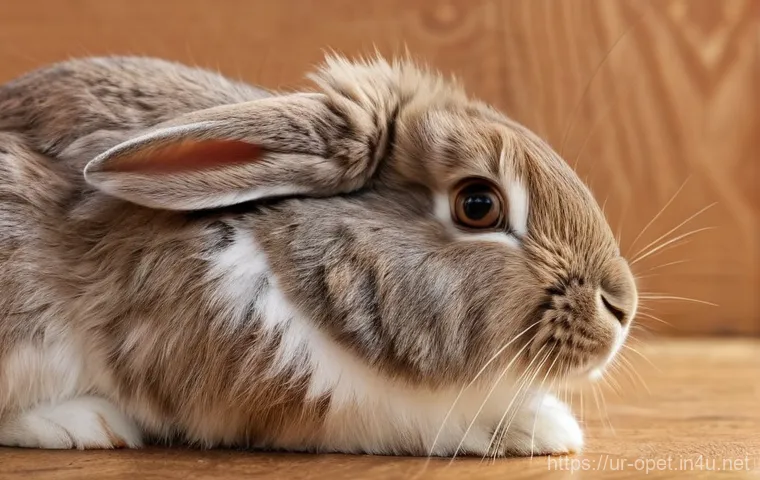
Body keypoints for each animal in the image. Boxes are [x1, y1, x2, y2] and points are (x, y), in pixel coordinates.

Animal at [0, 54, 637, 457]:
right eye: (477, 205)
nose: (622, 308)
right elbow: (427, 419)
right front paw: (548, 429)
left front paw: (544, 425)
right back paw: (84, 424)